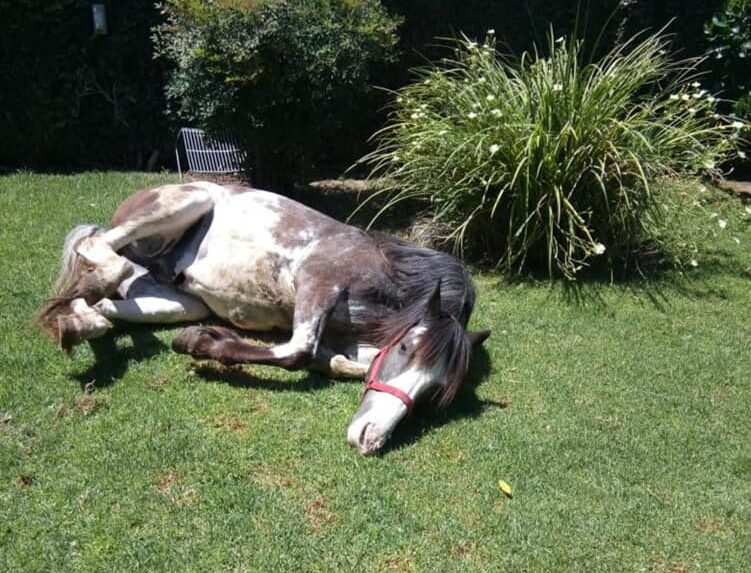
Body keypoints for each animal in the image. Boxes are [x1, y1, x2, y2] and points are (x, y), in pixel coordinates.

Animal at [35, 181, 490, 454]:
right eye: (407, 346)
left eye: (434, 389)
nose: (369, 439)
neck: (388, 279)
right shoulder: (317, 281)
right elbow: (298, 351)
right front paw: (201, 344)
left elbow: (344, 363)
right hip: (184, 203)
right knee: (98, 250)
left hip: (178, 301)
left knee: (105, 303)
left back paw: (77, 321)